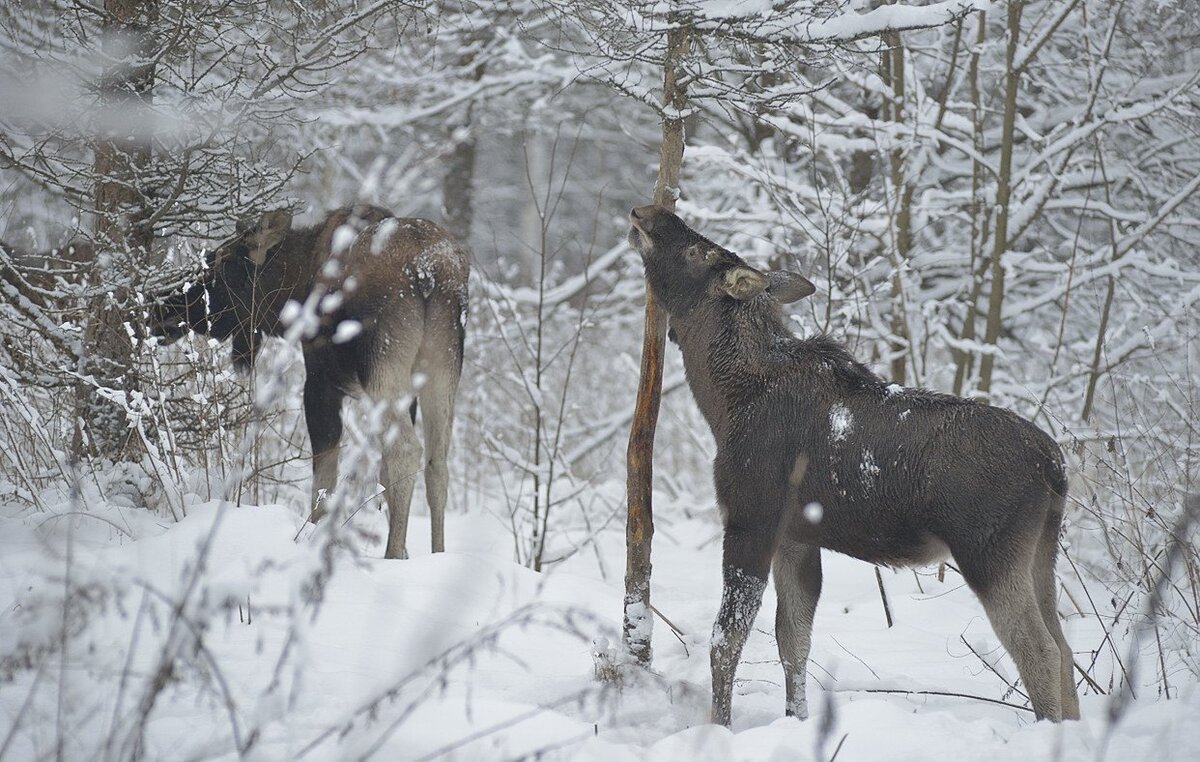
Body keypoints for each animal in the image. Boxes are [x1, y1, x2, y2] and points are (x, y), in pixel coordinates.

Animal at [150, 204, 468, 561]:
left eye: (222, 264)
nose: (160, 310)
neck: (296, 285)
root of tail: (429, 273)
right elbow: (379, 474)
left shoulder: (320, 381)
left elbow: (324, 479)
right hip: (443, 367)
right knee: (437, 463)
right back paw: (437, 554)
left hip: (383, 367)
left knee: (406, 452)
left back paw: (392, 555)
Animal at [628, 204, 1080, 729]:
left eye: (698, 251)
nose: (647, 211)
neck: (723, 403)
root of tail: (1056, 467)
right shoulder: (797, 538)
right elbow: (793, 641)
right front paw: (796, 719)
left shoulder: (750, 521)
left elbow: (727, 639)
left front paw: (719, 725)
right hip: (1040, 552)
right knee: (1066, 648)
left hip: (990, 553)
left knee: (1040, 651)